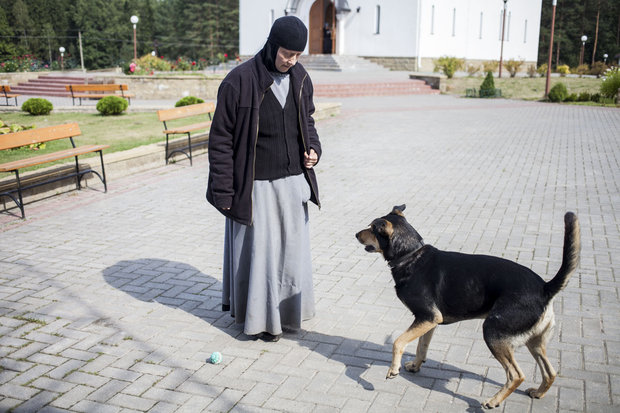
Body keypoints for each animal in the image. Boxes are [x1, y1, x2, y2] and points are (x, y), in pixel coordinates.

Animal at [356, 204, 580, 408]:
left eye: (372, 227)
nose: (356, 234)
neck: (411, 255)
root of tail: (545, 288)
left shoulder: (427, 317)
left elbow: (398, 342)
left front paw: (393, 369)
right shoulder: (429, 321)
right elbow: (422, 347)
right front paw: (415, 366)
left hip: (493, 332)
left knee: (516, 375)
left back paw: (493, 401)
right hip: (534, 341)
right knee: (550, 372)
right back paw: (538, 392)